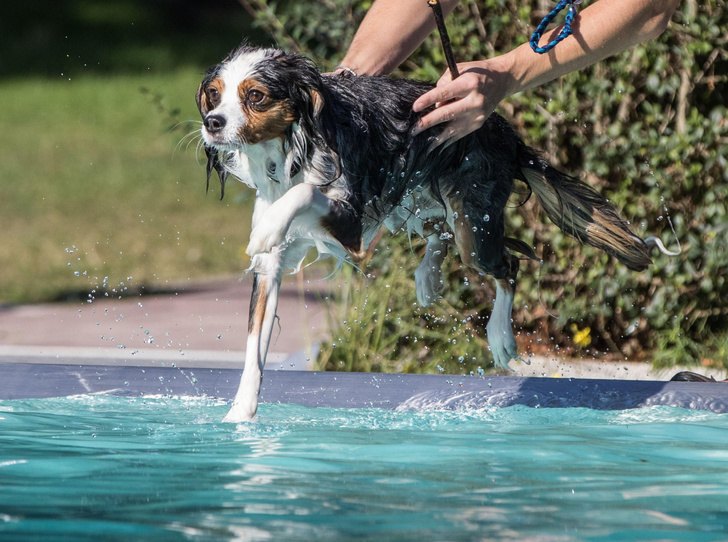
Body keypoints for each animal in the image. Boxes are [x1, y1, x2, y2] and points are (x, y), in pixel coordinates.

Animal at [198, 44, 656, 422]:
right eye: (215, 94)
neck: (293, 145)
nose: (211, 123)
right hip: (428, 197)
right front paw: (240, 413)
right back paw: (427, 276)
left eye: (255, 96)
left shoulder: (351, 226)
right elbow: (254, 346)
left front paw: (270, 225)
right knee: (445, 233)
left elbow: (305, 192)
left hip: (475, 227)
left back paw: (500, 335)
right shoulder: (272, 269)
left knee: (508, 263)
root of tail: (504, 130)